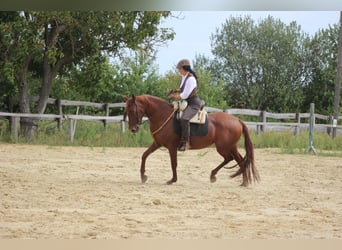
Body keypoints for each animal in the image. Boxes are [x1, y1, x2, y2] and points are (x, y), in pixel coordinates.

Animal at [123, 94, 260, 186]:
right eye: (126, 110)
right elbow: (144, 155)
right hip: (230, 146)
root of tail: (237, 120)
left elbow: (173, 163)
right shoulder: (157, 144)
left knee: (233, 159)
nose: (133, 129)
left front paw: (172, 180)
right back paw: (239, 181)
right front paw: (143, 176)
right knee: (239, 160)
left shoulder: (172, 147)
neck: (162, 115)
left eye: (133, 110)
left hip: (224, 147)